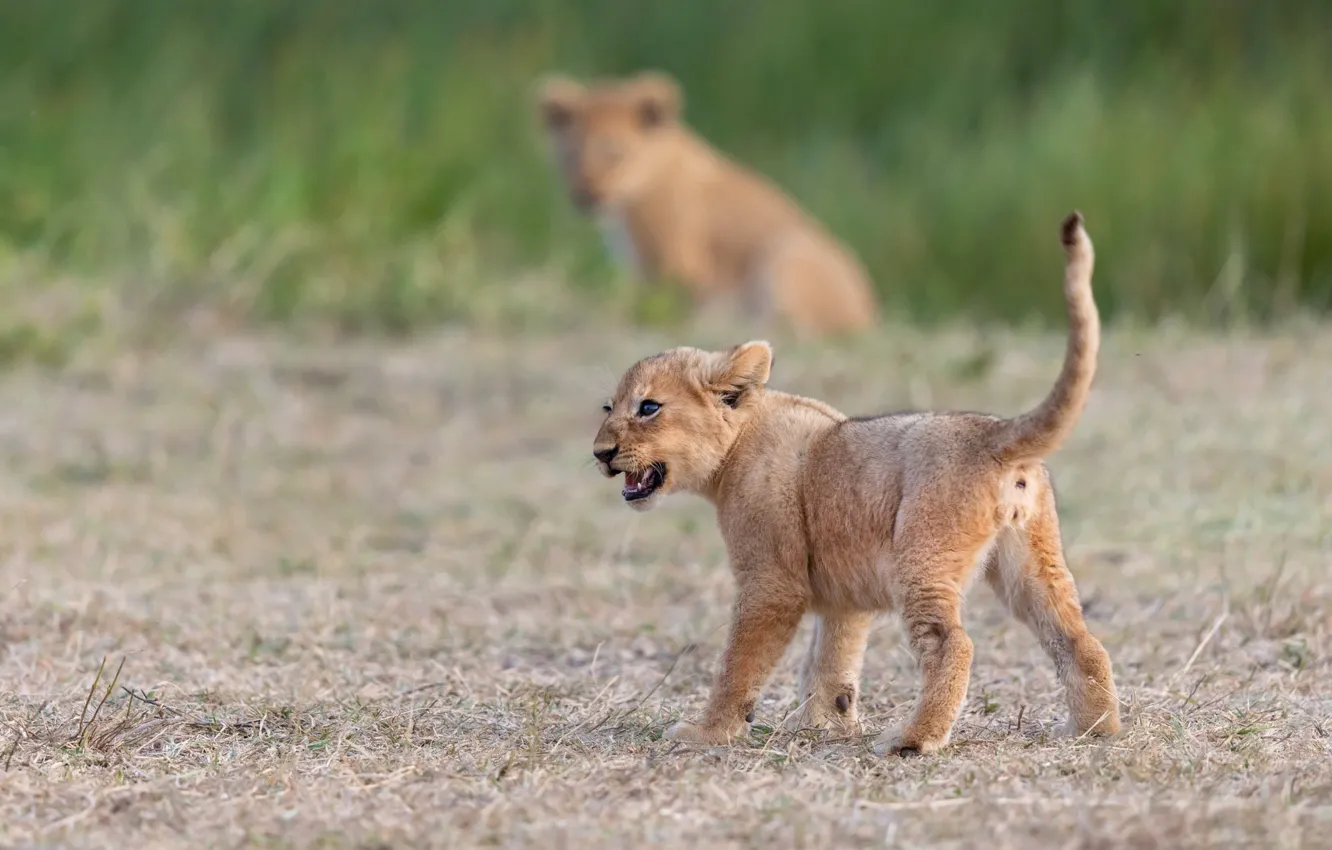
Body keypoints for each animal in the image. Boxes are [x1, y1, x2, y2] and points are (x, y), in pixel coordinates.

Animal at [534, 70, 879, 338]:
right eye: (570, 156)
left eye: (614, 154)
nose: (585, 197)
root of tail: (868, 318)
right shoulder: (636, 263)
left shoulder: (678, 261)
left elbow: (653, 304)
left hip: (790, 251)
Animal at [591, 212, 1120, 755]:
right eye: (609, 408)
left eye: (648, 407)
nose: (600, 453)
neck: (737, 445)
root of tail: (993, 431)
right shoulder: (846, 597)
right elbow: (830, 660)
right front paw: (826, 725)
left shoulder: (772, 582)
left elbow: (740, 663)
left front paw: (707, 732)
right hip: (1031, 562)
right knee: (1078, 639)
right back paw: (1093, 728)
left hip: (924, 556)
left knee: (953, 644)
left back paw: (913, 739)